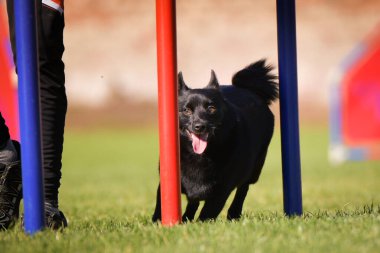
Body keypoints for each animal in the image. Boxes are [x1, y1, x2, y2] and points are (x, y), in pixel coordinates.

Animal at [152, 59, 280, 221]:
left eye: (211, 108)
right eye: (186, 110)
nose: (200, 126)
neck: (200, 156)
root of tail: (249, 89)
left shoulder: (222, 190)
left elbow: (207, 213)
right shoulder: (166, 183)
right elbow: (161, 205)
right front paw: (158, 223)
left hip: (255, 168)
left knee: (243, 189)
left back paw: (234, 214)